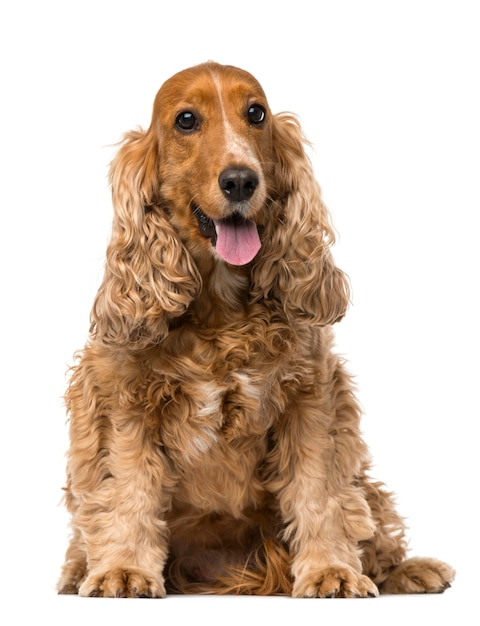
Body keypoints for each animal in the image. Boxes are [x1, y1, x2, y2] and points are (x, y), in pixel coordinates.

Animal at [57, 62, 454, 596]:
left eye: (256, 114)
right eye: (186, 120)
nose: (241, 180)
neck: (220, 308)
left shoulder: (312, 398)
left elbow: (319, 491)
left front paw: (330, 570)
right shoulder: (122, 403)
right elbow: (127, 490)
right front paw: (123, 570)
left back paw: (410, 569)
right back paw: (79, 570)